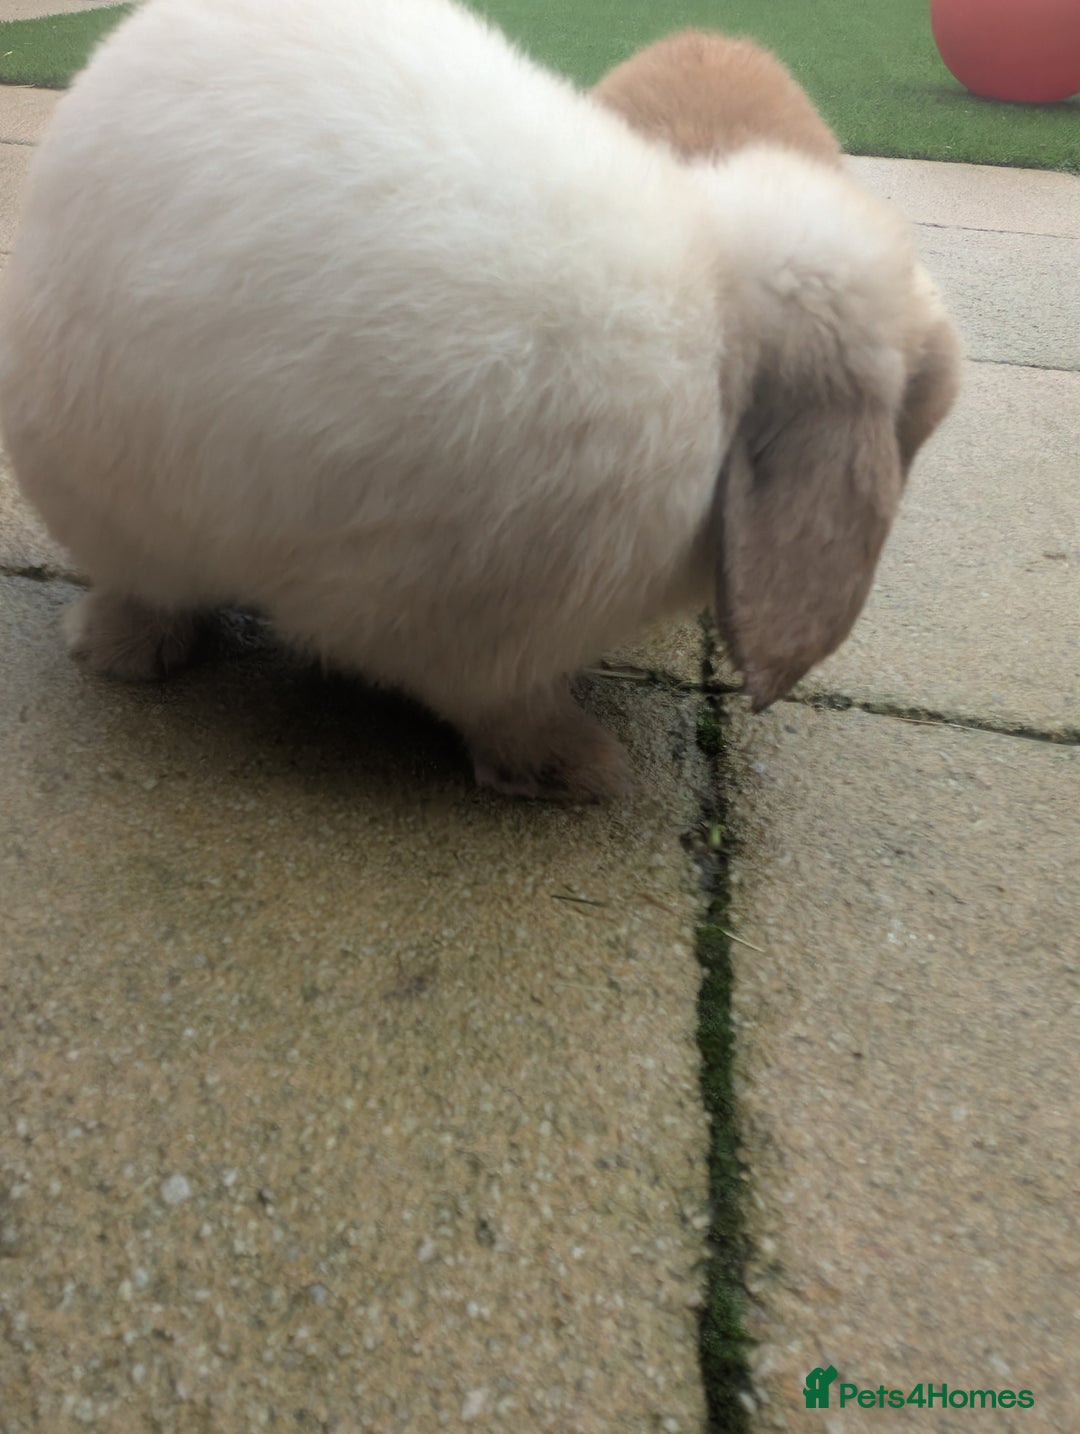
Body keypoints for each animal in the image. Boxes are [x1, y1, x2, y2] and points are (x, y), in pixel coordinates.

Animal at [0, 0, 959, 802]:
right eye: (913, 407)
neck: (721, 345)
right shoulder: (478, 628)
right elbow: (500, 709)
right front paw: (579, 770)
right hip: (109, 500)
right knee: (138, 590)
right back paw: (131, 654)